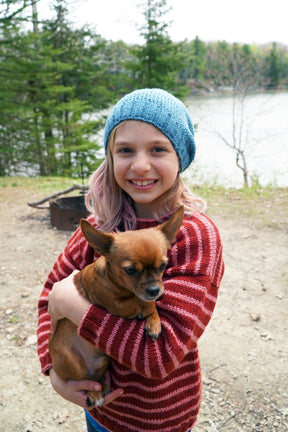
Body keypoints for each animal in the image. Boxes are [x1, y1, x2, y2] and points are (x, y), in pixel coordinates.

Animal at [48, 205, 183, 404]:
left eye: (162, 266)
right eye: (131, 270)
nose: (154, 290)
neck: (121, 287)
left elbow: (148, 302)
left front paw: (154, 322)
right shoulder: (117, 305)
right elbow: (143, 301)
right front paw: (150, 315)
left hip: (103, 360)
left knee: (94, 378)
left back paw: (101, 387)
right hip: (71, 361)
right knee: (82, 380)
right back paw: (94, 393)